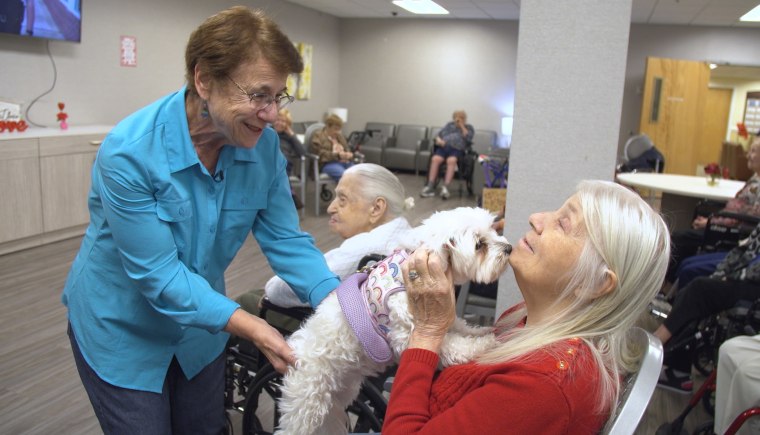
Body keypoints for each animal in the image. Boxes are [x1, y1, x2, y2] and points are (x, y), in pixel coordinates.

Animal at [274, 208, 510, 435]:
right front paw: (486, 343)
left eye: (493, 230)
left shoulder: (440, 311)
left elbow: (461, 326)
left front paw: (484, 331)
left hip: (340, 394)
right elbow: (455, 346)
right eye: (480, 245)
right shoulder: (407, 334)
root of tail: (294, 351)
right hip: (308, 403)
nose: (508, 248)